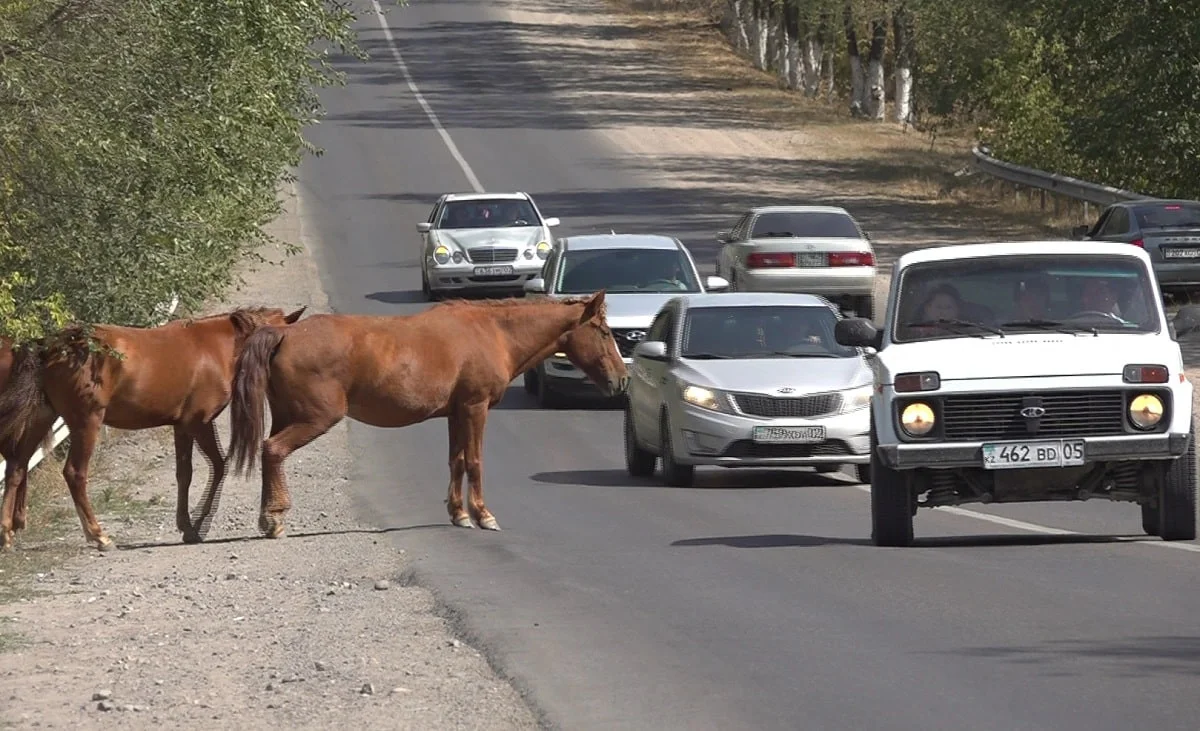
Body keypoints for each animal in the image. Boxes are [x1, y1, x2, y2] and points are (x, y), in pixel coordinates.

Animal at [0, 304, 304, 549]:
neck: (217, 347)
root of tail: (51, 347)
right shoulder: (200, 423)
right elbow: (219, 466)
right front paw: (199, 524)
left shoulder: (182, 426)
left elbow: (185, 474)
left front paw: (188, 526)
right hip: (86, 423)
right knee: (74, 474)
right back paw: (99, 536)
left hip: (42, 417)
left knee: (17, 467)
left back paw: (7, 534)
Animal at [225, 290, 633, 535]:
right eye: (603, 330)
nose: (623, 379)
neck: (491, 332)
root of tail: (284, 333)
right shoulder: (475, 408)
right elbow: (475, 462)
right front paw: (483, 514)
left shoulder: (456, 413)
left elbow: (456, 461)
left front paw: (459, 513)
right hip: (314, 419)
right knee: (273, 450)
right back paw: (273, 518)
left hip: (287, 415)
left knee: (269, 451)